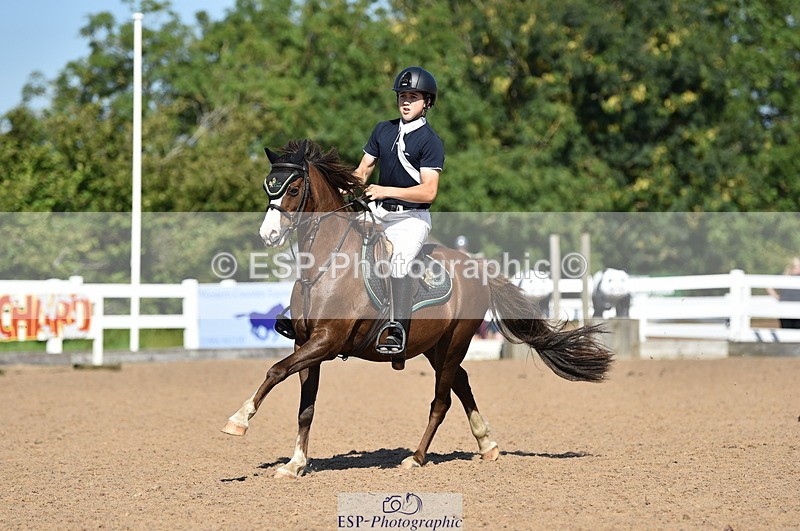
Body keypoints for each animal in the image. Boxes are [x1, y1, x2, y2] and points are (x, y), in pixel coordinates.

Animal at [222, 139, 613, 478]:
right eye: (268, 188)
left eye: (292, 189)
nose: (269, 235)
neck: (324, 264)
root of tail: (478, 268)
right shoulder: (305, 343)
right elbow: (305, 407)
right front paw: (295, 464)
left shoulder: (326, 341)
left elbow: (275, 370)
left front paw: (238, 420)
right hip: (432, 346)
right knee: (462, 383)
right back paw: (487, 445)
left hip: (455, 342)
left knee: (442, 401)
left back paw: (417, 457)